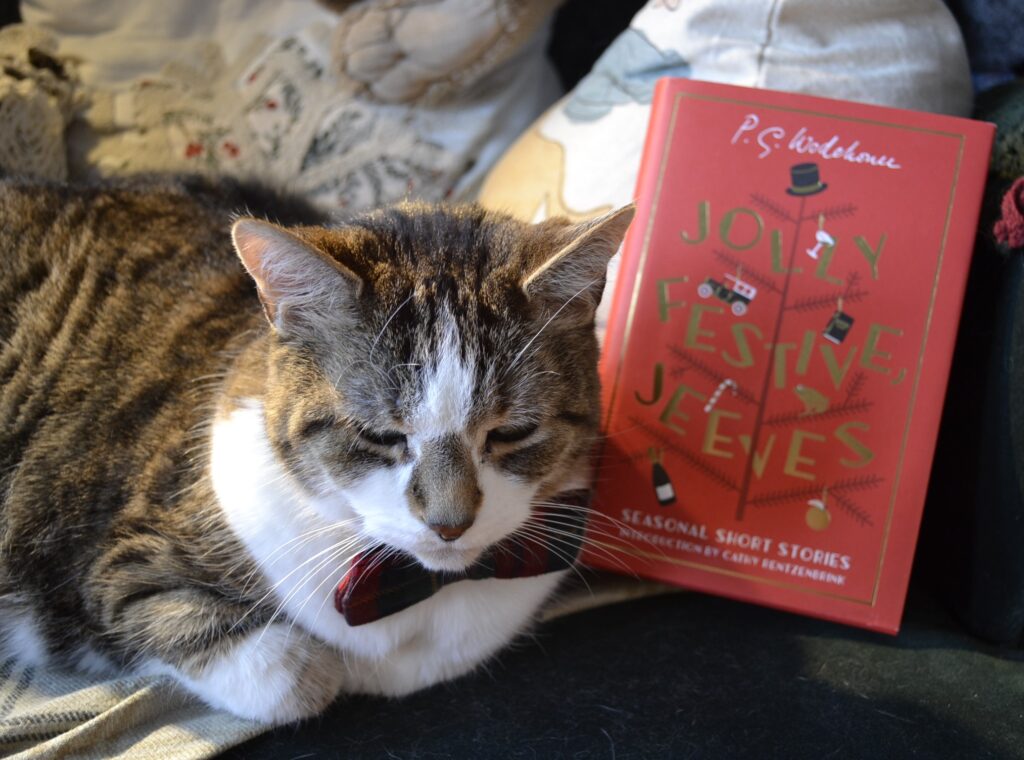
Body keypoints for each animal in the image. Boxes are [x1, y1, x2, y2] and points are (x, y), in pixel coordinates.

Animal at [0, 175, 630, 725]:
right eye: (380, 436)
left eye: (511, 433)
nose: (450, 524)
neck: (411, 595)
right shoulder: (121, 558)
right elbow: (272, 670)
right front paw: (319, 670)